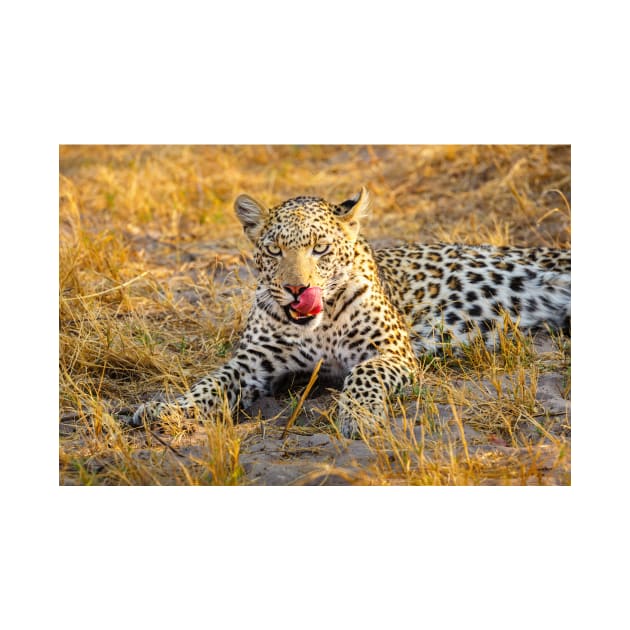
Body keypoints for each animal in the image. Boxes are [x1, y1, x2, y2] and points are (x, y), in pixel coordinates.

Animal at [133, 188, 572, 440]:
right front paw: (166, 408)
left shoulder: (393, 352)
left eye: (320, 248)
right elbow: (210, 383)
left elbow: (363, 374)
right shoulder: (252, 363)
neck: (318, 326)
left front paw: (358, 417)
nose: (297, 290)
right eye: (274, 250)